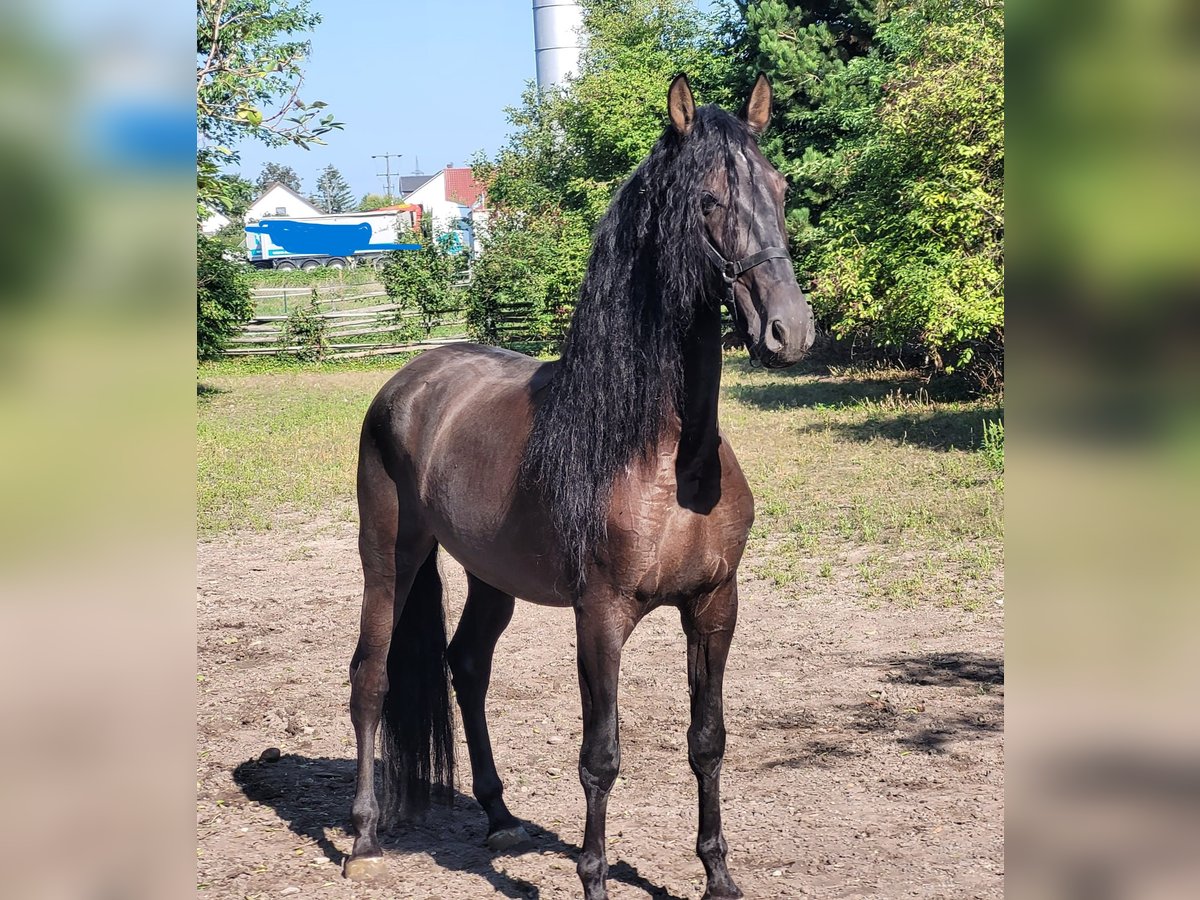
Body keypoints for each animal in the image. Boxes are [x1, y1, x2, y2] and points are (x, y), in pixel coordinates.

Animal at [348, 74, 816, 897]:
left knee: (467, 665)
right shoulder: (600, 616)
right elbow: (600, 757)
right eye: (709, 200)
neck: (667, 457)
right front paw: (594, 878)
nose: (790, 330)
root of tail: (408, 381)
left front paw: (717, 876)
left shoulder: (714, 607)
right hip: (391, 558)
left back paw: (499, 815)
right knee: (370, 675)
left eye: (781, 189)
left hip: (490, 576)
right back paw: (364, 835)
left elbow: (708, 740)